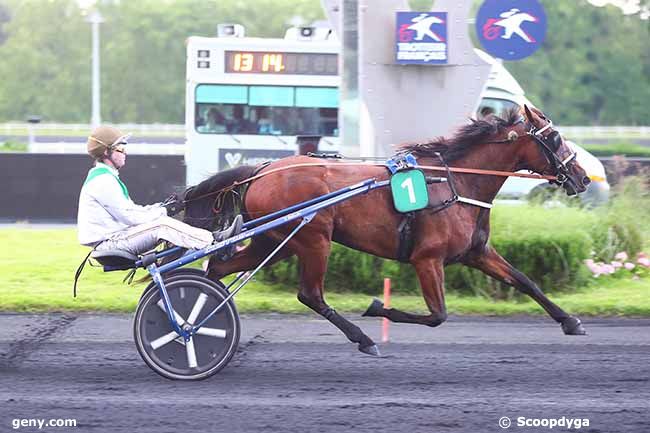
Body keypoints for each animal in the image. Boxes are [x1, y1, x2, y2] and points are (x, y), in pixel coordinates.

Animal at [182, 104, 592, 354]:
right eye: (555, 139)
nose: (583, 177)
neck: (456, 180)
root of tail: (263, 169)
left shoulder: (476, 252)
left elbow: (525, 281)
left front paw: (571, 321)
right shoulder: (427, 259)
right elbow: (437, 315)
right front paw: (379, 306)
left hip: (275, 240)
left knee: (219, 268)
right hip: (312, 239)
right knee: (310, 295)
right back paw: (363, 339)